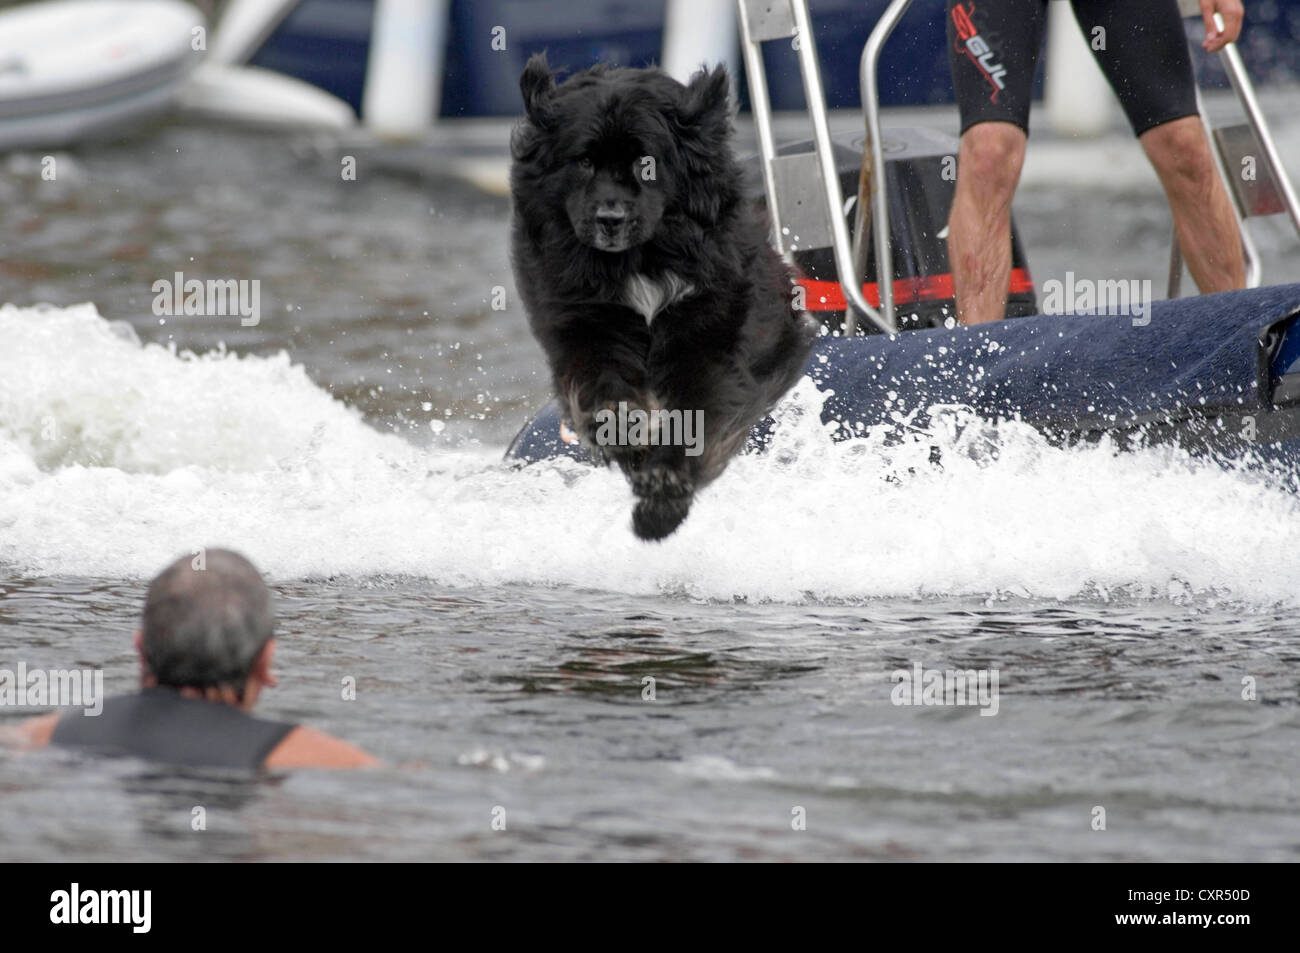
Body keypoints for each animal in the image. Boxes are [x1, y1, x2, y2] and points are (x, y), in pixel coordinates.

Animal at [506, 55, 811, 538]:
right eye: (584, 161)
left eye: (645, 162)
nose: (609, 218)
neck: (639, 261)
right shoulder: (585, 326)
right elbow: (603, 391)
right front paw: (627, 434)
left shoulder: (711, 337)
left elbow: (698, 413)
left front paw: (662, 502)